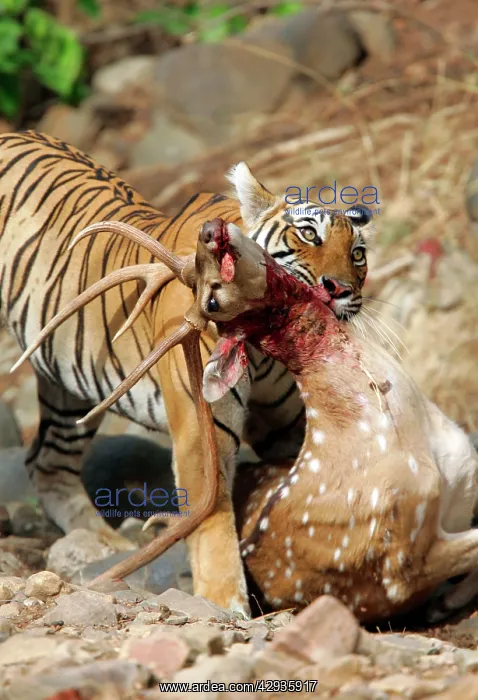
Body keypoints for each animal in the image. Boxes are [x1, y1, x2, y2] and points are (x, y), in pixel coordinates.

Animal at [0, 130, 373, 616]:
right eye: (308, 233)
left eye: (358, 255)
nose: (340, 289)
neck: (268, 348)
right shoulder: (202, 433)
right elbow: (212, 519)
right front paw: (224, 603)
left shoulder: (290, 430)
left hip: (70, 385)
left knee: (47, 463)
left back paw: (101, 543)